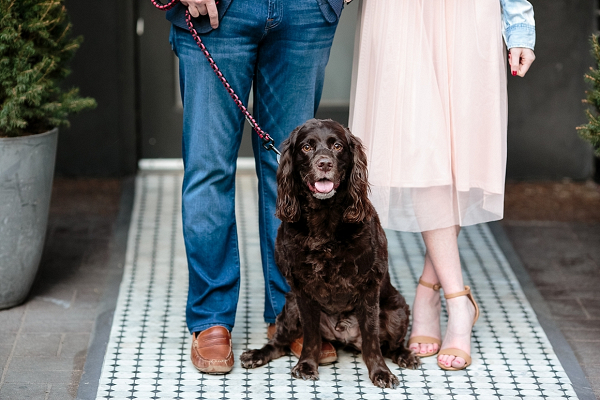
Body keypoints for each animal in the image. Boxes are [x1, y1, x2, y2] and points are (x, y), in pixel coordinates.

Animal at [241, 118, 420, 388]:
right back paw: (257, 354)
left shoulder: (369, 286)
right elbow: (311, 335)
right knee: (280, 343)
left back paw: (405, 355)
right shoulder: (302, 289)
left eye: (337, 146)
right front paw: (306, 364)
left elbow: (372, 339)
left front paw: (380, 372)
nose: (324, 163)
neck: (324, 218)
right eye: (306, 147)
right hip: (290, 307)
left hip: (397, 310)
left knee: (390, 344)